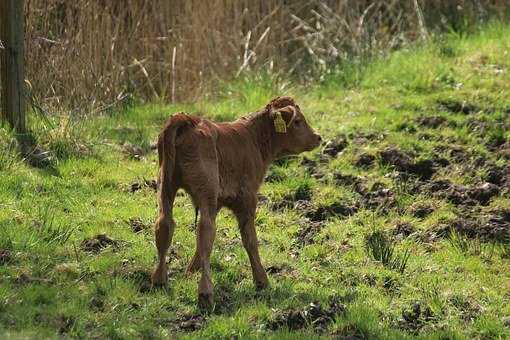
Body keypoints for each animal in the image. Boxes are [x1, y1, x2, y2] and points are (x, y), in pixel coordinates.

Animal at [149, 96, 320, 308]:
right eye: (297, 121)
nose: (318, 137)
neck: (254, 139)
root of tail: (188, 119)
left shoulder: (217, 201)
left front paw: (190, 272)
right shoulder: (247, 198)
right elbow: (250, 239)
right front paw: (261, 280)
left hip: (166, 184)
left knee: (164, 224)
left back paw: (159, 280)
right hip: (205, 190)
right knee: (206, 232)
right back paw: (205, 292)